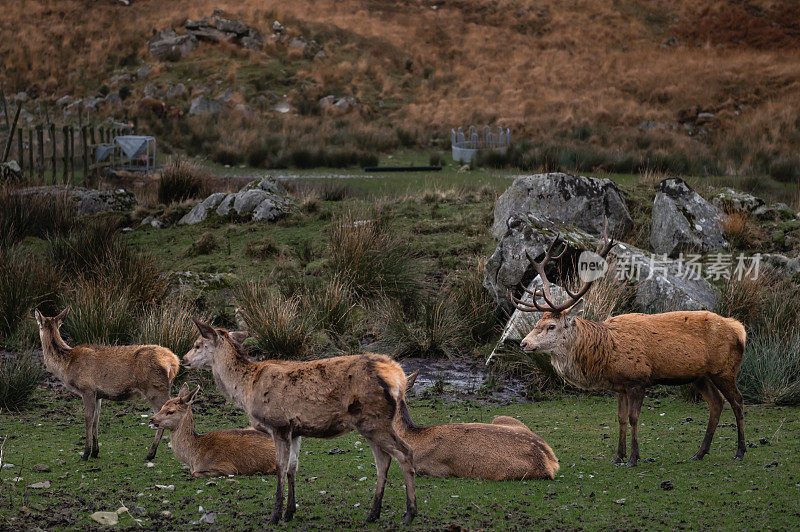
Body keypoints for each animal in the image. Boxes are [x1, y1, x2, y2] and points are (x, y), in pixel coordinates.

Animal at [35, 308, 178, 462]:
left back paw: (151, 453)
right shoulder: (98, 394)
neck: (67, 366)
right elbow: (96, 420)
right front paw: (95, 452)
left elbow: (88, 418)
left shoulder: (87, 389)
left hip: (155, 388)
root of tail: (174, 361)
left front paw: (85, 453)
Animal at [182, 320, 418, 528]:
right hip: (369, 424)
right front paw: (289, 513)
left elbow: (280, 467)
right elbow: (292, 468)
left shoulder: (278, 424)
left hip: (376, 420)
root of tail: (399, 376)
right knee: (383, 461)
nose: (183, 359)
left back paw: (409, 514)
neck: (246, 389)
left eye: (197, 344)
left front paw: (274, 516)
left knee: (405, 452)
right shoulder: (295, 431)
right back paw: (373, 514)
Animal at [496, 221, 748, 466]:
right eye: (538, 322)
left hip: (725, 369)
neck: (605, 353)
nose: (524, 344)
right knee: (717, 403)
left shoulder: (638, 379)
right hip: (701, 375)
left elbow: (634, 418)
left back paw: (740, 451)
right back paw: (700, 452)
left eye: (551, 326)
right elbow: (620, 418)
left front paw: (634, 457)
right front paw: (618, 456)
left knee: (737, 401)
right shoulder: (620, 385)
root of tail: (740, 330)